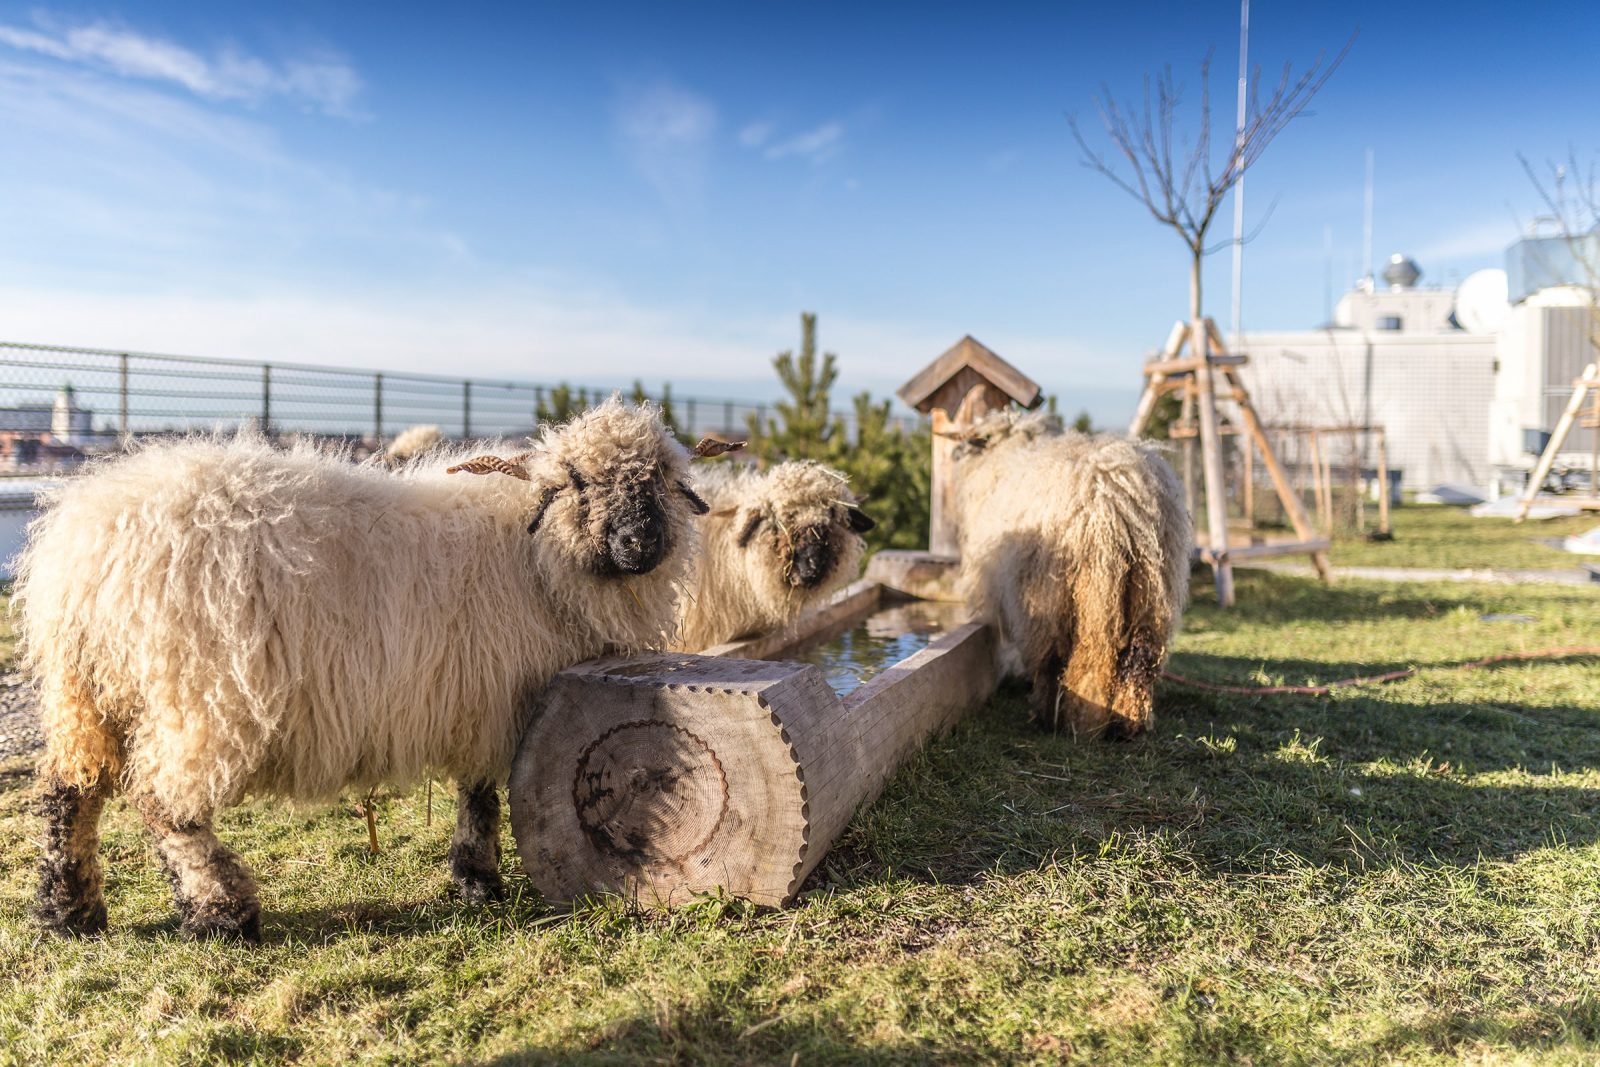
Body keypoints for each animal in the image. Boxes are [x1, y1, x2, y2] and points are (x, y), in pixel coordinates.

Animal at [15, 396, 720, 940]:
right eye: (575, 479)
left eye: (661, 478)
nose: (640, 542)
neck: (540, 556)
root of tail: (87, 545)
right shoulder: (495, 697)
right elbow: (480, 794)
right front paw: (480, 878)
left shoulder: (477, 698)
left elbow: (477, 792)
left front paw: (473, 880)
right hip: (199, 694)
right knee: (165, 804)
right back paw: (221, 912)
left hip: (87, 691)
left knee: (69, 790)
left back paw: (67, 913)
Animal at [947, 412, 1190, 742]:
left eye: (978, 436)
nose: (954, 454)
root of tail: (1119, 492)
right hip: (1153, 588)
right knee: (1140, 659)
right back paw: (1129, 724)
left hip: (1074, 588)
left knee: (1082, 655)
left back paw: (1068, 719)